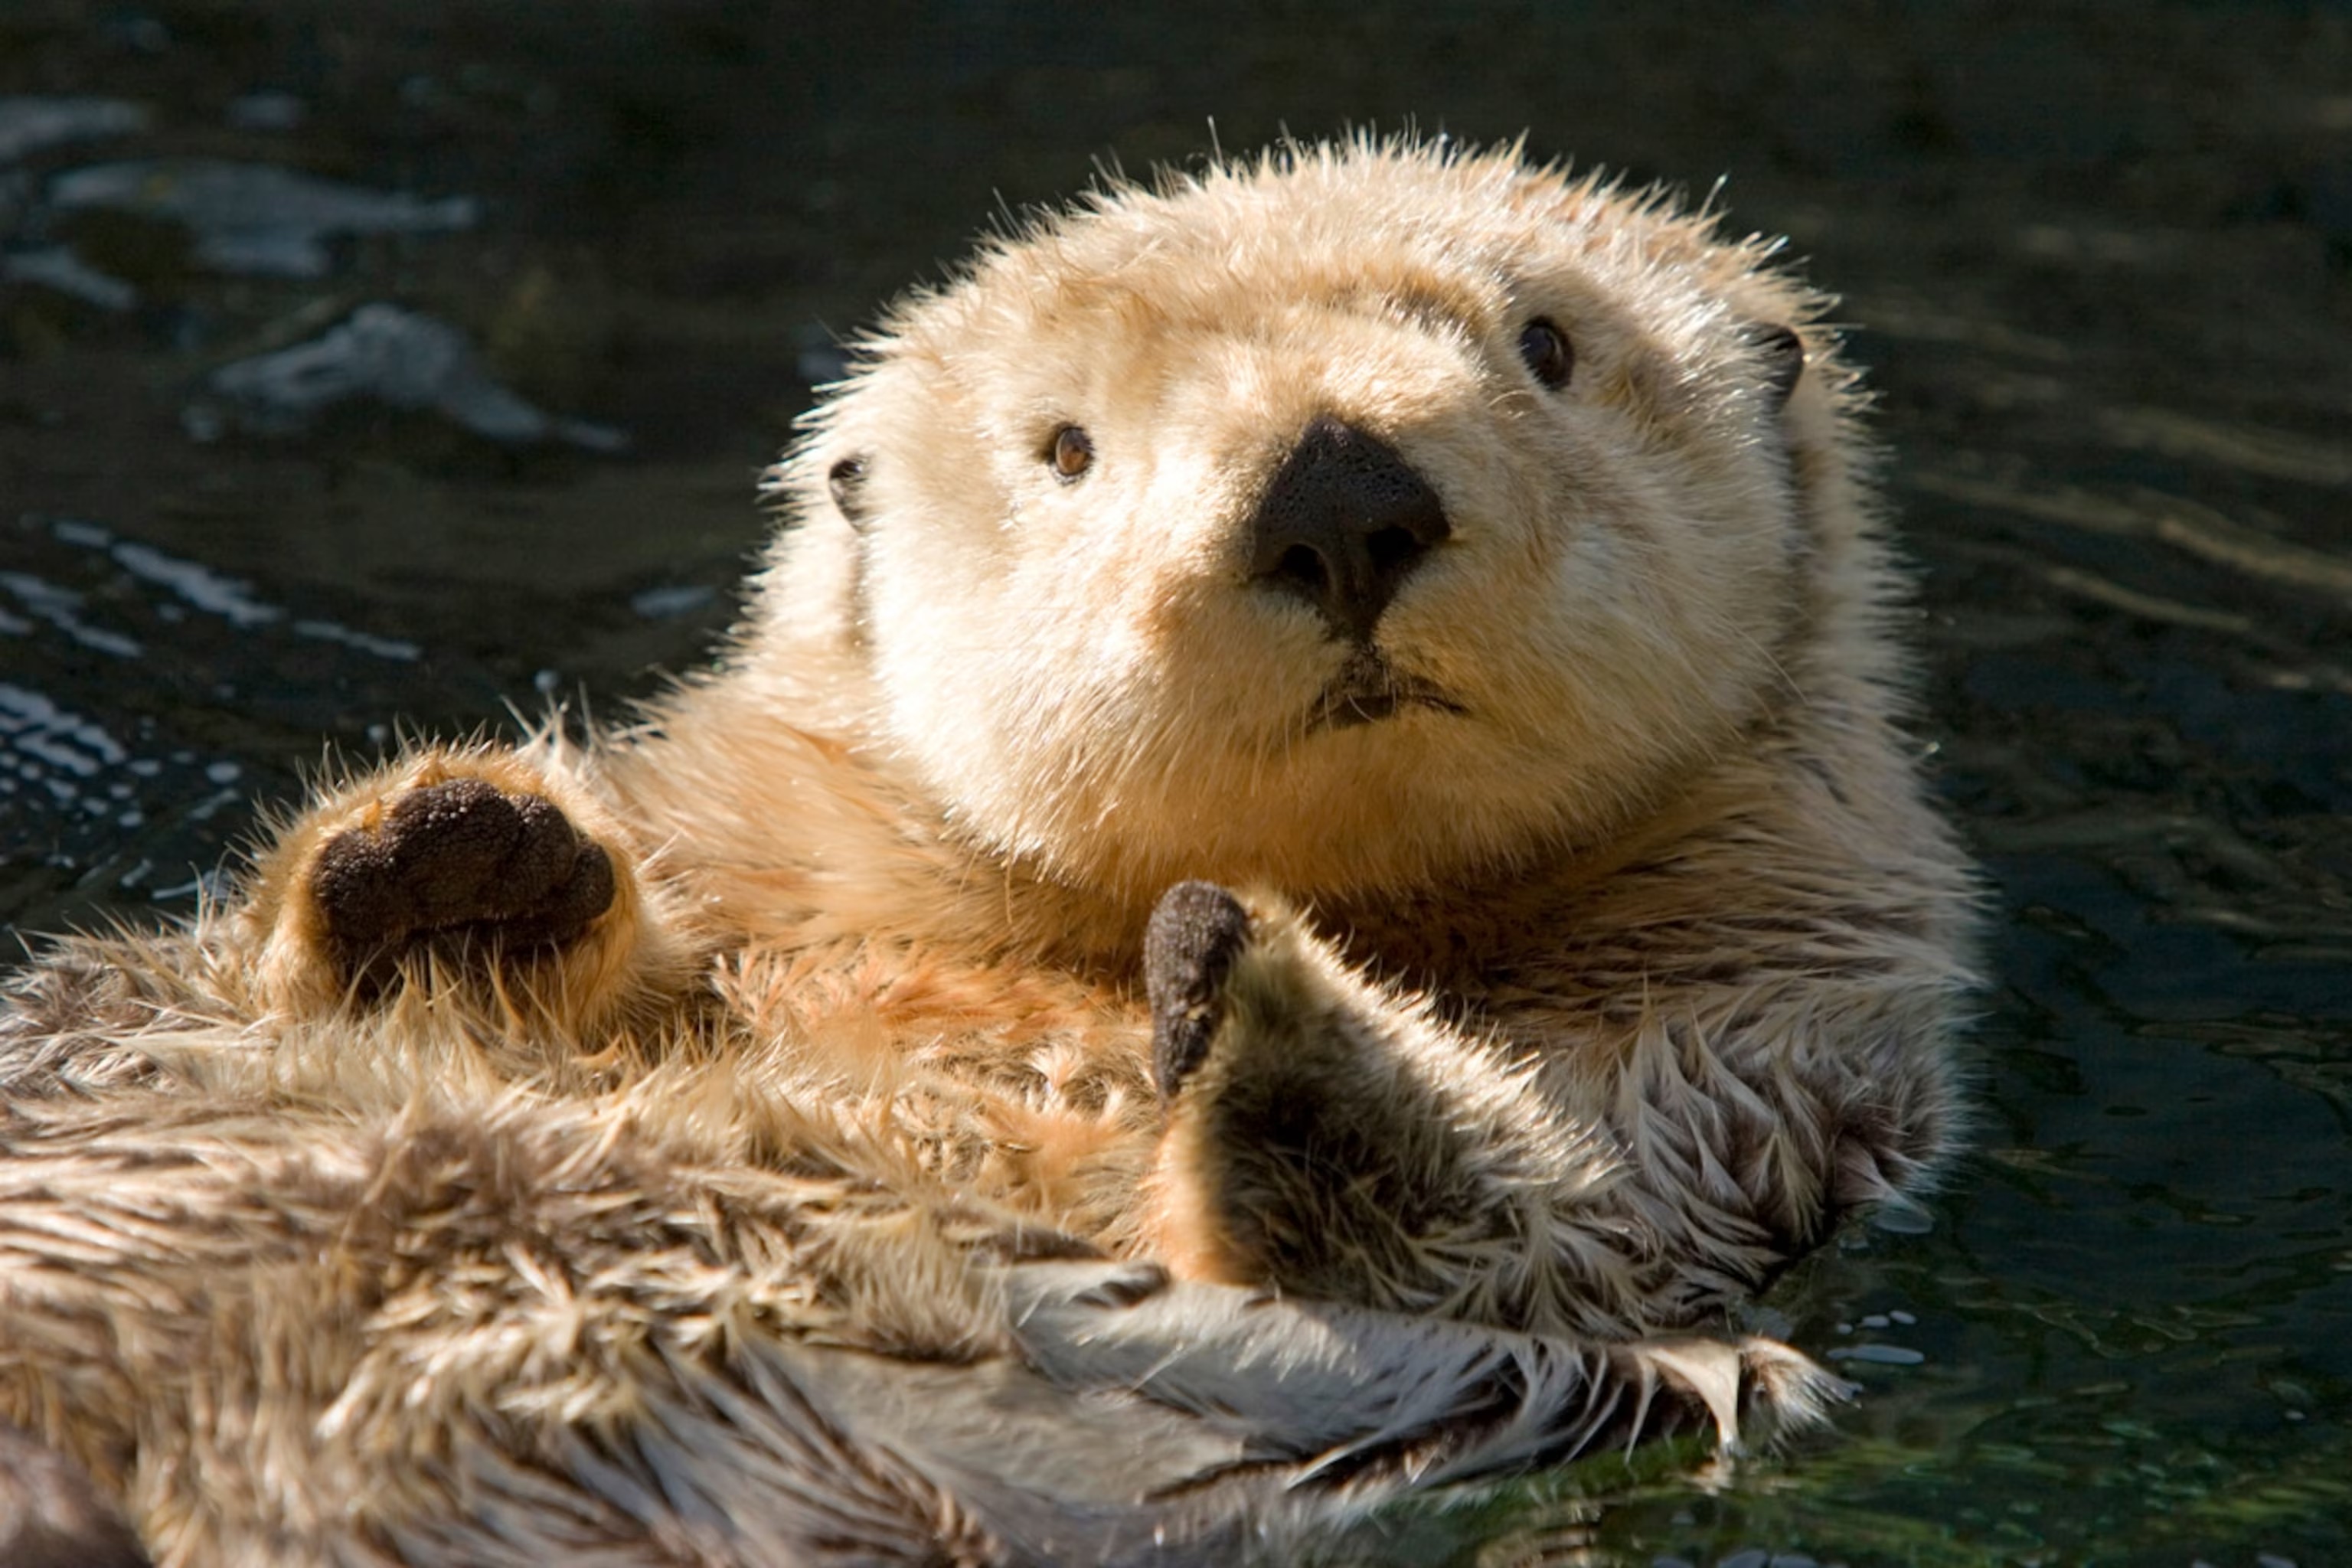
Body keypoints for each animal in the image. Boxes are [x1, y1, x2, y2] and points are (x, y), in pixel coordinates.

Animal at [0, 138, 1974, 1565]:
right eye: (1068, 448)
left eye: (1550, 349)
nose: (1337, 491)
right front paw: (455, 856)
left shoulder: (1739, 1080)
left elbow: (1507, 1226)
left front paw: (1254, 994)